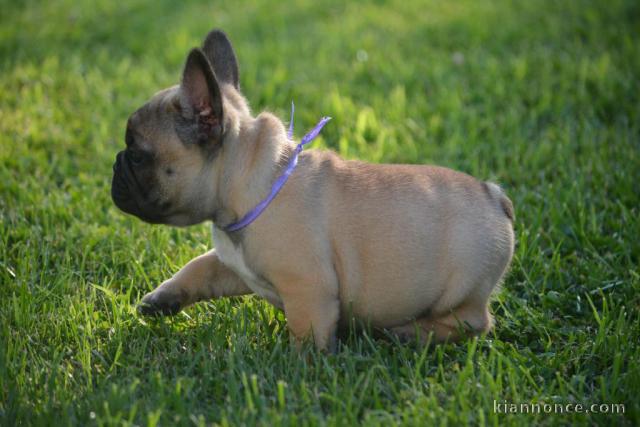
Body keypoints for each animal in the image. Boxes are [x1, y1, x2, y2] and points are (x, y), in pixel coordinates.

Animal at [111, 29, 516, 352]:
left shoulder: (308, 288)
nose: (115, 165)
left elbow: (307, 333)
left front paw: (300, 369)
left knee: (472, 322)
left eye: (137, 155)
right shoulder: (235, 266)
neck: (253, 186)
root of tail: (495, 195)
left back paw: (409, 333)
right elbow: (199, 268)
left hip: (461, 289)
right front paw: (161, 299)